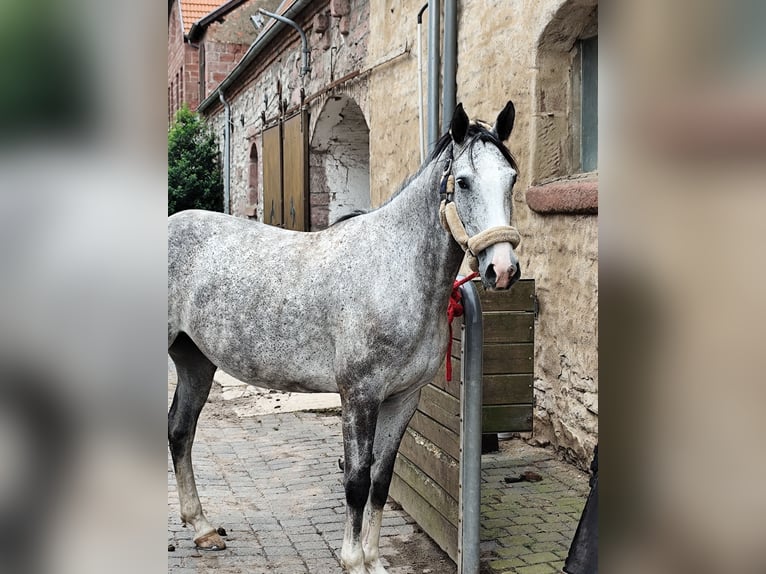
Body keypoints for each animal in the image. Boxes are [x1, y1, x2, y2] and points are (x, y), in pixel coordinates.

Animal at [169, 103, 524, 574]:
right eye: (463, 181)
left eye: (512, 178)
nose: (501, 270)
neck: (393, 269)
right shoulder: (360, 395)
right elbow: (355, 480)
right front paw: (353, 560)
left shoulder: (403, 397)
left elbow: (380, 479)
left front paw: (373, 559)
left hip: (195, 362)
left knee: (180, 432)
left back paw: (203, 529)